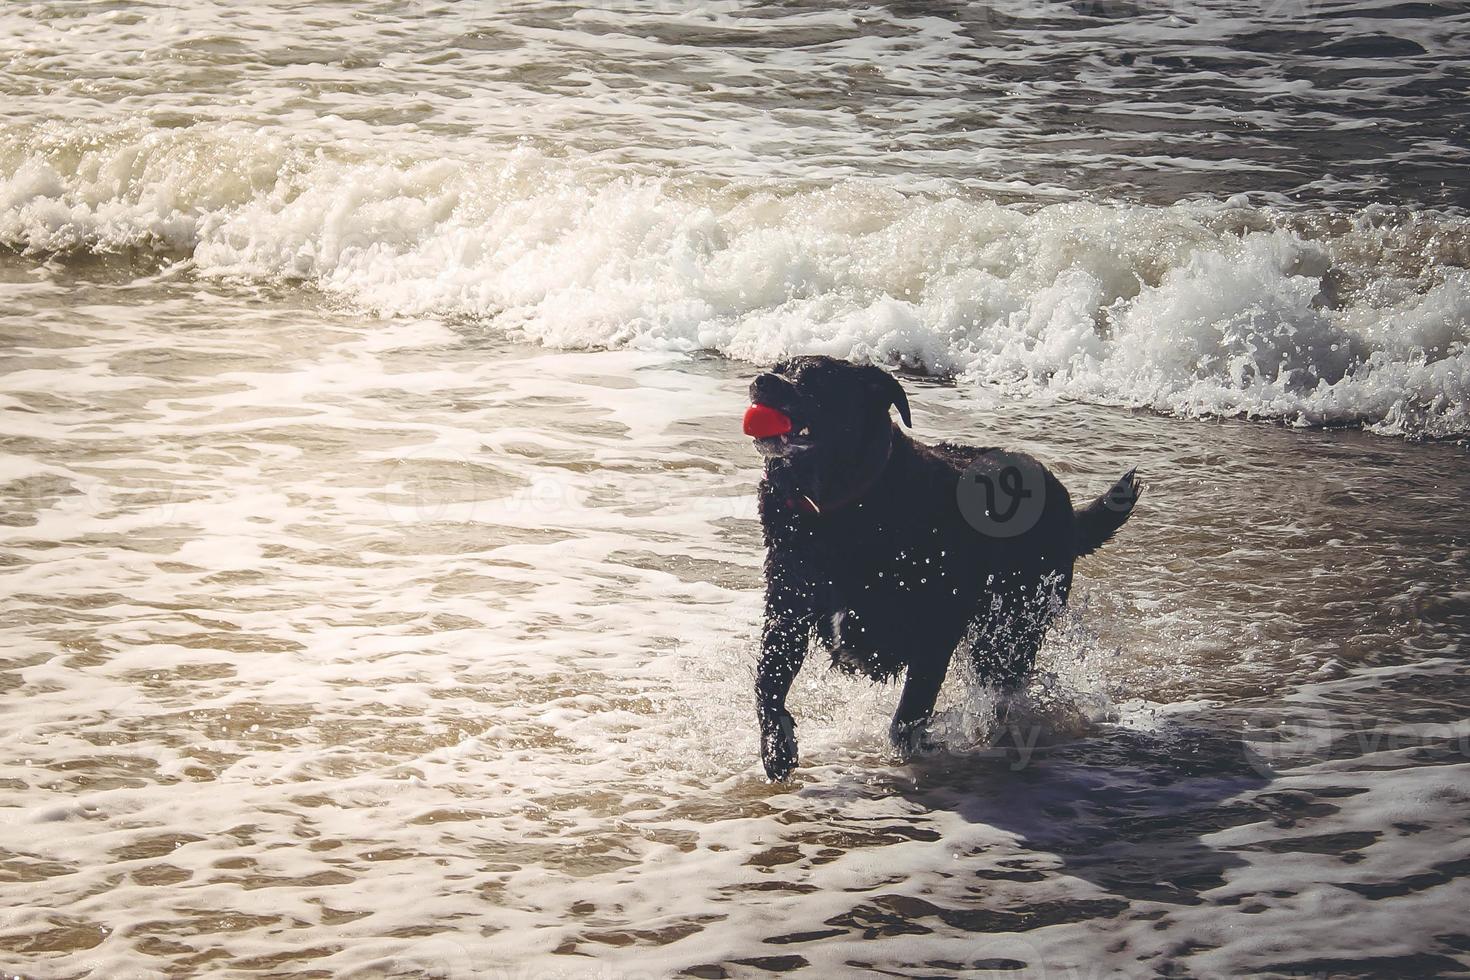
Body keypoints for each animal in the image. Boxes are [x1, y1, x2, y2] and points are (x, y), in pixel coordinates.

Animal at [746, 354, 1134, 781]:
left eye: (813, 376)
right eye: (778, 366)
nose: (761, 381)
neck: (842, 508)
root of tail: (1065, 503)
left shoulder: (935, 631)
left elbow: (908, 714)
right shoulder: (787, 609)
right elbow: (768, 681)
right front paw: (776, 747)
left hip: (1011, 628)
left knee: (1001, 683)